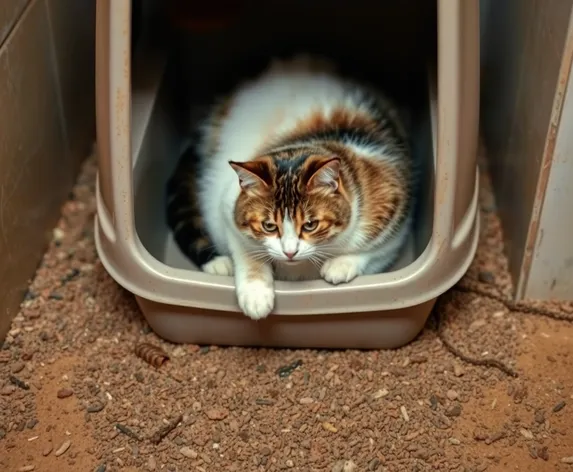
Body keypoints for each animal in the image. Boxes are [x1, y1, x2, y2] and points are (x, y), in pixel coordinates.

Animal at [166, 55, 416, 320]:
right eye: (268, 226)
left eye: (310, 225)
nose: (289, 252)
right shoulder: (227, 205)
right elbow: (247, 252)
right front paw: (256, 294)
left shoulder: (394, 211)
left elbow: (378, 253)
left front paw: (340, 265)